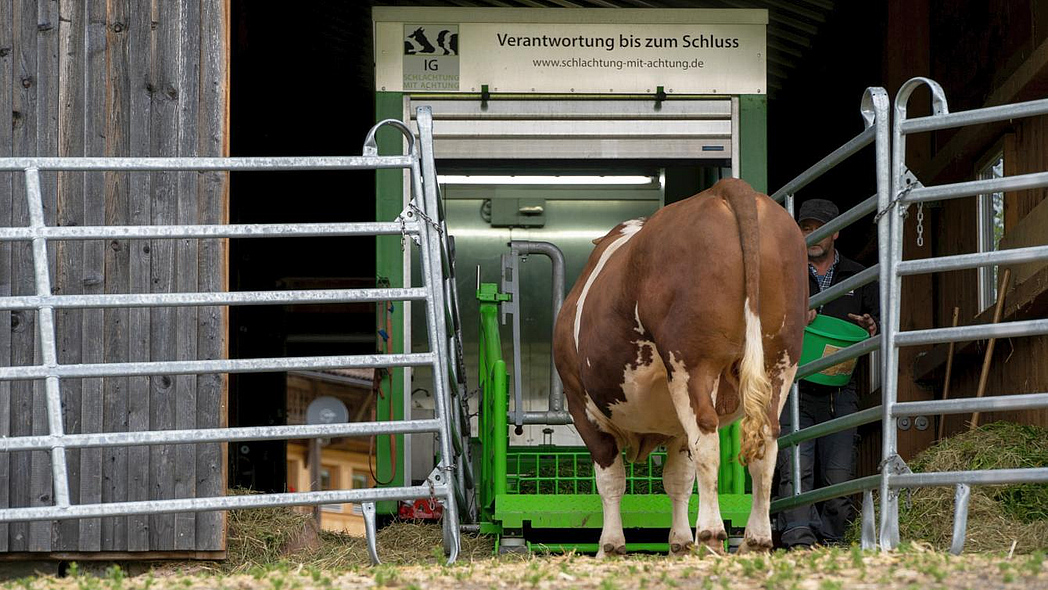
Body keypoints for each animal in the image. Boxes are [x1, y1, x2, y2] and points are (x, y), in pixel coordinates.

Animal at [553, 178, 804, 557]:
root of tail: (726, 188)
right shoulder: (674, 430)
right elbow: (678, 480)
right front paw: (680, 543)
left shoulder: (581, 406)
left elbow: (611, 480)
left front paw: (610, 546)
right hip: (780, 360)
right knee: (767, 441)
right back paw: (755, 540)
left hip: (693, 362)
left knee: (707, 439)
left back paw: (712, 533)